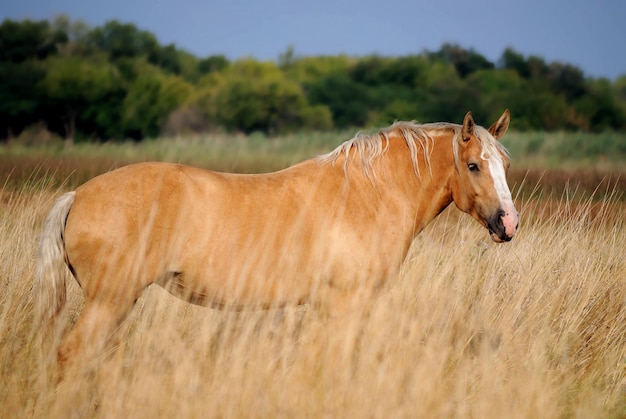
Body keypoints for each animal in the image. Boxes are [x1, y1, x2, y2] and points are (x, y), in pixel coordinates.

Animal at [34, 110, 516, 378]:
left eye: (505, 164)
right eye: (473, 165)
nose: (508, 223)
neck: (367, 192)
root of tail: (78, 195)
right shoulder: (346, 302)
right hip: (109, 301)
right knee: (70, 355)